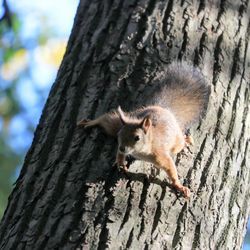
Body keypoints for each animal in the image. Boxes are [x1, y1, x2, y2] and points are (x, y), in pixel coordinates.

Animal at [77, 61, 210, 198]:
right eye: (120, 135)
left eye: (137, 137)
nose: (122, 148)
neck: (141, 150)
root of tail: (164, 109)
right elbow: (120, 155)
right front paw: (121, 163)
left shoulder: (161, 156)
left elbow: (171, 170)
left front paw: (180, 186)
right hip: (125, 120)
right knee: (106, 120)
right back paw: (90, 122)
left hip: (175, 143)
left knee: (180, 143)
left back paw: (186, 139)